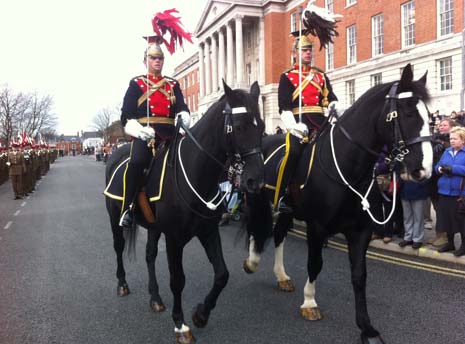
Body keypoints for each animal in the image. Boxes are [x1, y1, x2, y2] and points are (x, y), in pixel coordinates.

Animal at [105, 80, 264, 342]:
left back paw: (155, 298)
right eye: (239, 127)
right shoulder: (174, 239)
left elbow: (222, 274)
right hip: (114, 217)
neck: (196, 171)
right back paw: (122, 284)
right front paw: (181, 325)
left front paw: (201, 314)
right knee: (118, 248)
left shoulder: (207, 231)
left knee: (150, 255)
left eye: (261, 126)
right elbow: (178, 280)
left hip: (153, 226)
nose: (256, 181)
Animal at [243, 65, 432, 344]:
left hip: (288, 211)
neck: (348, 167)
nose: (425, 169)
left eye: (429, 114)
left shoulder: (360, 230)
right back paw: (252, 261)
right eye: (408, 112)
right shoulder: (317, 226)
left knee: (277, 234)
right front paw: (309, 303)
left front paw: (367, 328)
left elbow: (359, 275)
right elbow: (315, 264)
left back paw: (282, 276)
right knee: (256, 227)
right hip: (256, 198)